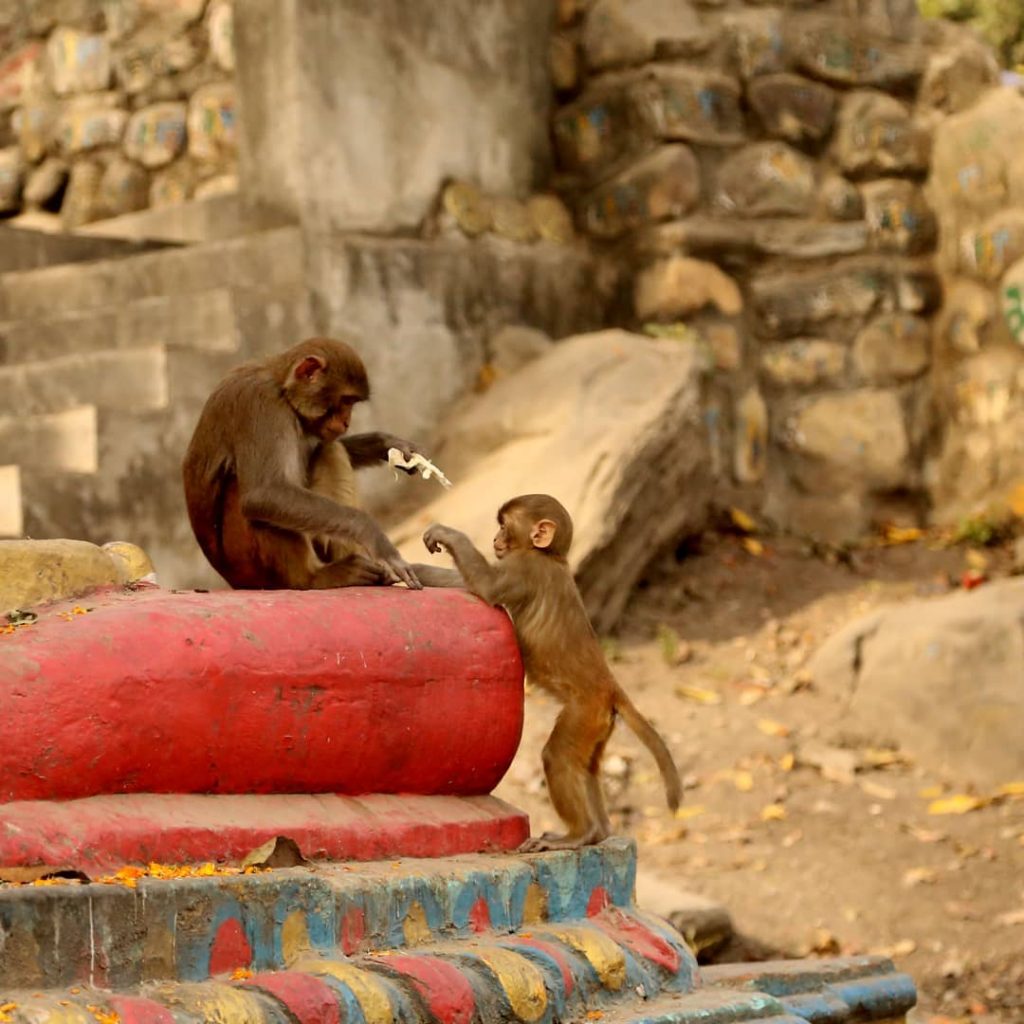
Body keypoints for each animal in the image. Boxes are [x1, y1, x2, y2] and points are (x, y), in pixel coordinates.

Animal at [183, 336, 457, 592]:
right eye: (346, 400)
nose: (346, 422)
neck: (281, 387)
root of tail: (233, 581)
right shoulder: (261, 403)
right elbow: (264, 493)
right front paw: (373, 535)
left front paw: (386, 444)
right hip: (256, 567)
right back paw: (316, 577)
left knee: (330, 450)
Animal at [422, 494, 681, 850]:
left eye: (504, 525)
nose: (495, 539)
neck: (550, 556)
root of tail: (610, 686)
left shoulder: (523, 568)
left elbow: (487, 587)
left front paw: (447, 536)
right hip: (598, 725)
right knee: (587, 767)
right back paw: (597, 833)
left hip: (583, 712)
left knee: (557, 757)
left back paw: (578, 834)